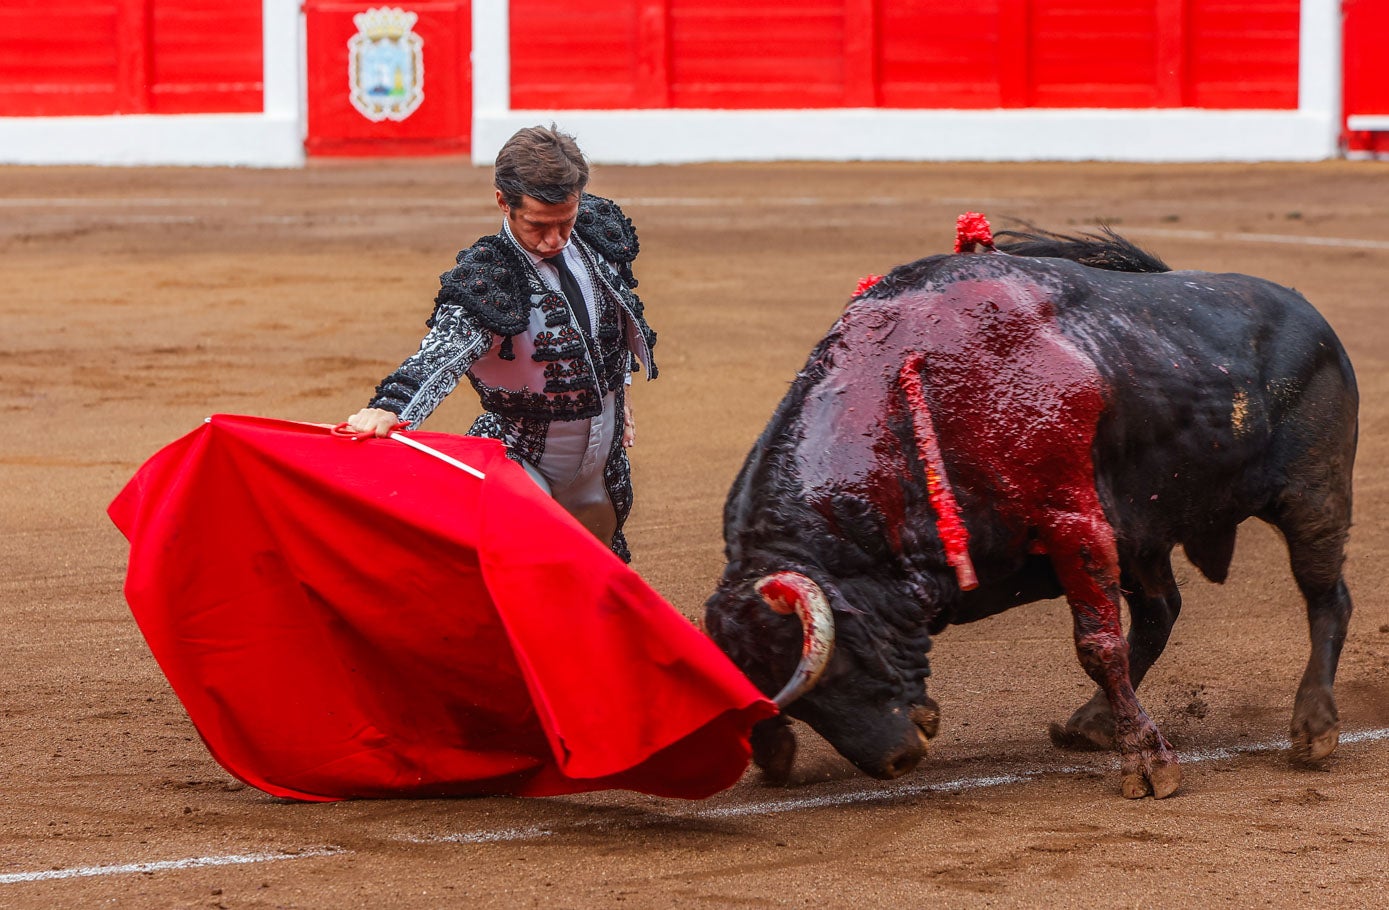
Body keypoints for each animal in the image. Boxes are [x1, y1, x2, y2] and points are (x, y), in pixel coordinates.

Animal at [705, 233, 1355, 800]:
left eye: (843, 659)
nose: (896, 759)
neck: (917, 396)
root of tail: (1314, 317)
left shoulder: (1074, 522)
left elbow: (1098, 646)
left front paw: (1149, 766)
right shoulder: (1100, 531)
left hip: (1313, 496)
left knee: (1326, 596)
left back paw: (1315, 727)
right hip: (1144, 533)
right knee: (1160, 611)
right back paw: (1090, 723)